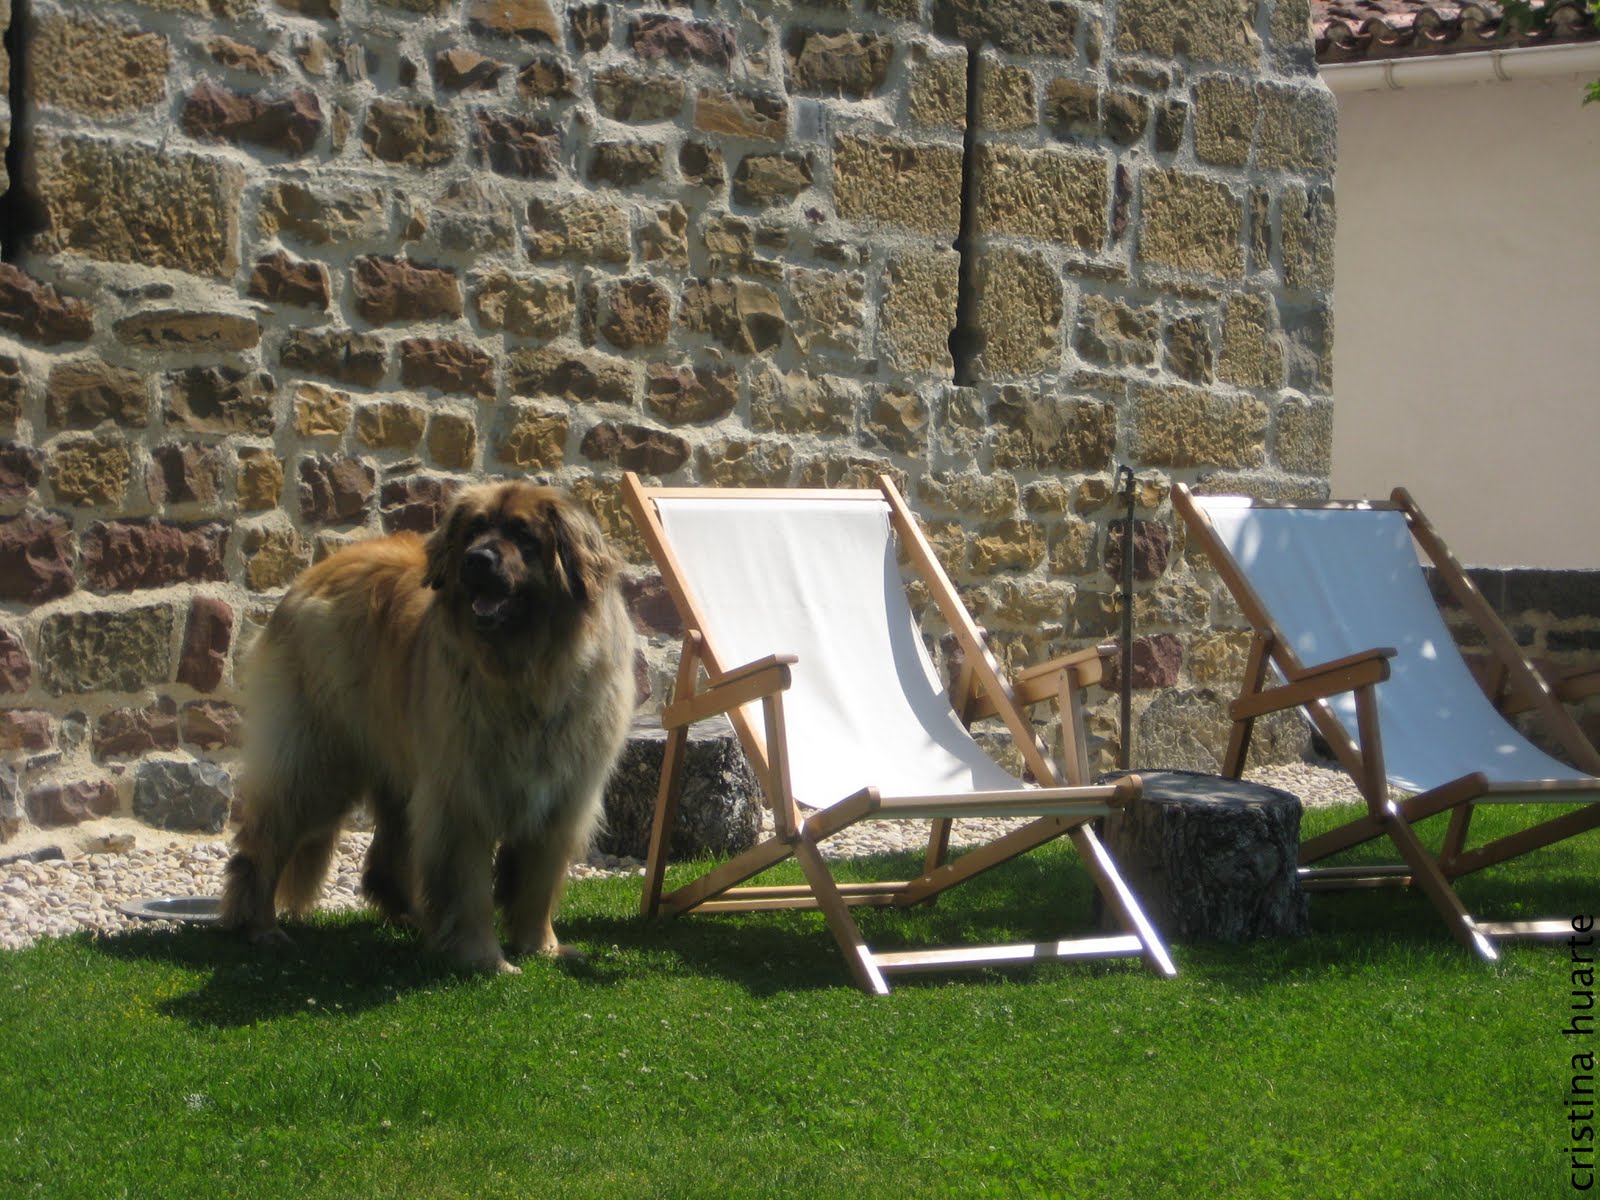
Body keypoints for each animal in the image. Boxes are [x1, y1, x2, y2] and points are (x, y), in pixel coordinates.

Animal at [221, 481, 636, 974]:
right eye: (474, 529)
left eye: (523, 535)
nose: (477, 560)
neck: (528, 669)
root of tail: (313, 574)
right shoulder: (462, 795)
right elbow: (469, 887)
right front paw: (483, 958)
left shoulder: (563, 797)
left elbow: (538, 879)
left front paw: (541, 946)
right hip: (317, 762)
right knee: (264, 841)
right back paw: (258, 926)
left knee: (389, 854)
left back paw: (415, 920)